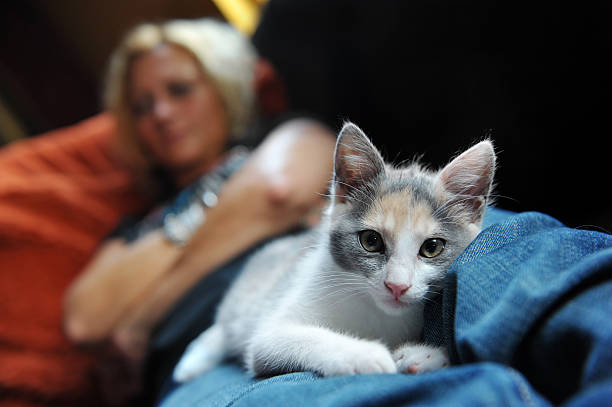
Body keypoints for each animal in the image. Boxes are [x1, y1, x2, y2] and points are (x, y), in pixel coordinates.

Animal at [171, 122, 492, 382]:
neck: (377, 312)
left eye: (431, 248)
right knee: (224, 326)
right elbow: (290, 339)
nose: (397, 286)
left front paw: (424, 355)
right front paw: (366, 355)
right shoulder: (269, 334)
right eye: (371, 241)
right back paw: (192, 362)